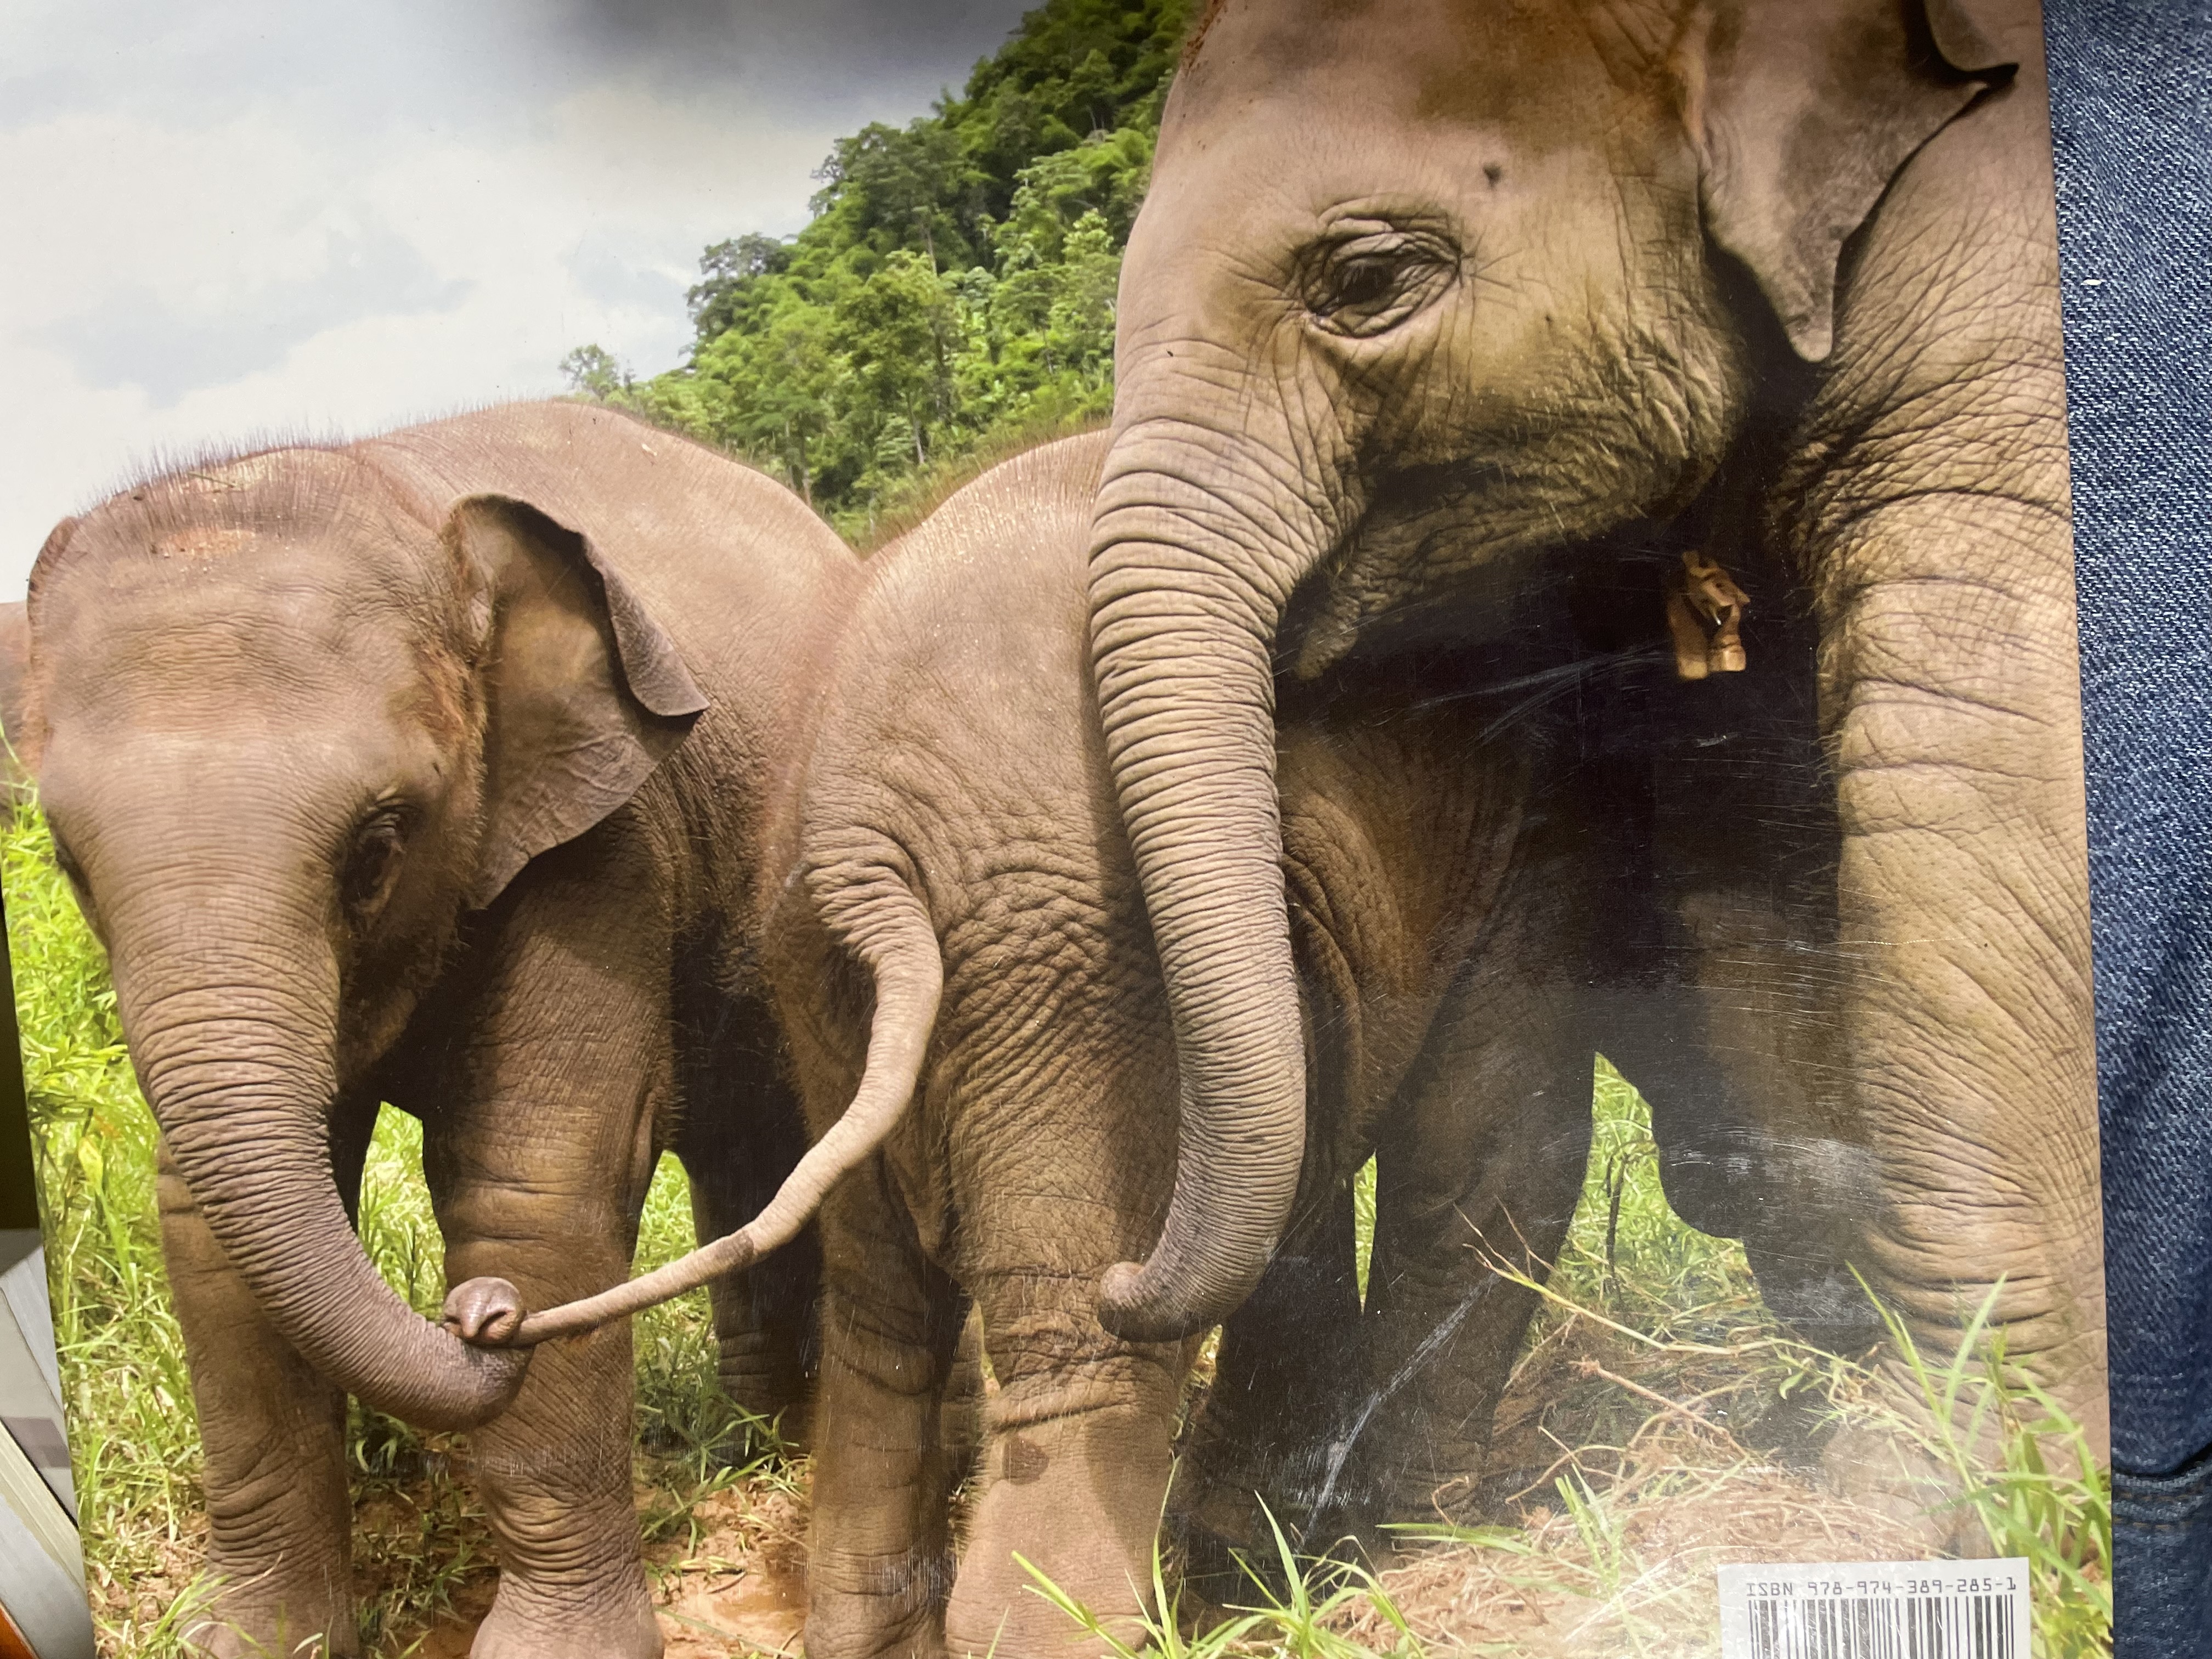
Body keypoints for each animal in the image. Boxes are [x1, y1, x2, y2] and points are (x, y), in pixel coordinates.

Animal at [18, 401, 870, 1659]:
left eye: (378, 845)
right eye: (69, 862)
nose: (484, 1319)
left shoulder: (606, 839)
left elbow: (530, 1184)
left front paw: (553, 1651)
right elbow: (208, 1226)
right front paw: (251, 1639)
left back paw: (783, 1449)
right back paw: (750, 1442)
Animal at [1082, 0, 2106, 1502]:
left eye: (1367, 279)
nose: (1110, 1283)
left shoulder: (1997, 315)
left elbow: (1978, 760)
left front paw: (1970, 1488)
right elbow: (1731, 824)